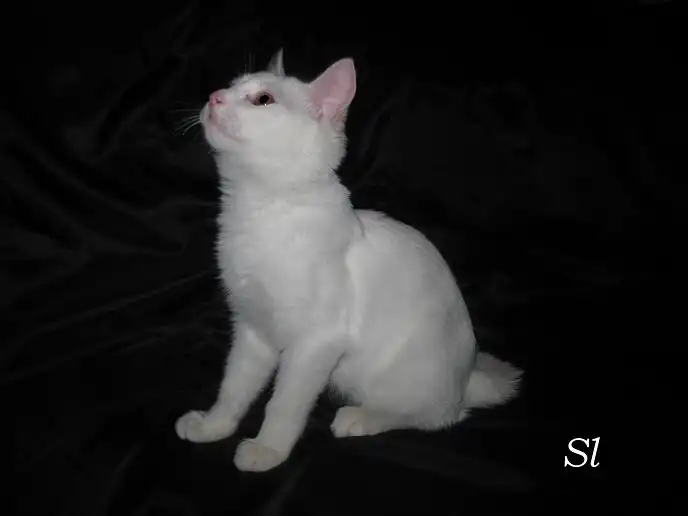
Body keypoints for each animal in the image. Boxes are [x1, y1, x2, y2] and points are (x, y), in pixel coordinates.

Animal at [175, 49, 523, 472]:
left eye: (262, 100)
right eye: (231, 85)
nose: (214, 97)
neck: (259, 208)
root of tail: (467, 377)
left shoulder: (316, 343)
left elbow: (283, 404)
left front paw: (268, 448)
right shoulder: (253, 330)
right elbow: (235, 388)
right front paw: (214, 426)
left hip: (400, 376)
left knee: (437, 416)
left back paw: (360, 417)